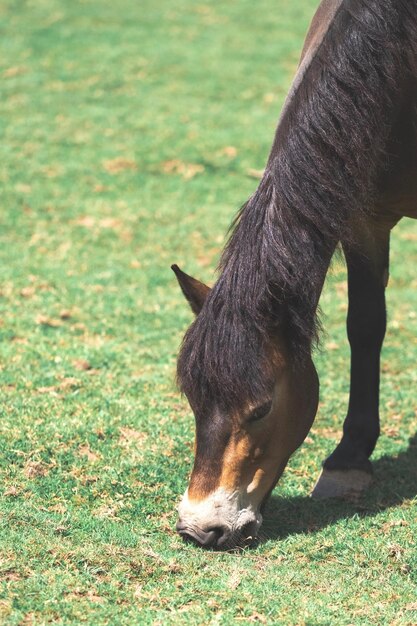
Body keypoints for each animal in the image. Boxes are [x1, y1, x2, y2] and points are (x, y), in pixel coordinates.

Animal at [171, 0, 414, 544]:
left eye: (261, 408)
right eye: (193, 399)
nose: (201, 527)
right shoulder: (363, 217)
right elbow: (365, 326)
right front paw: (349, 459)